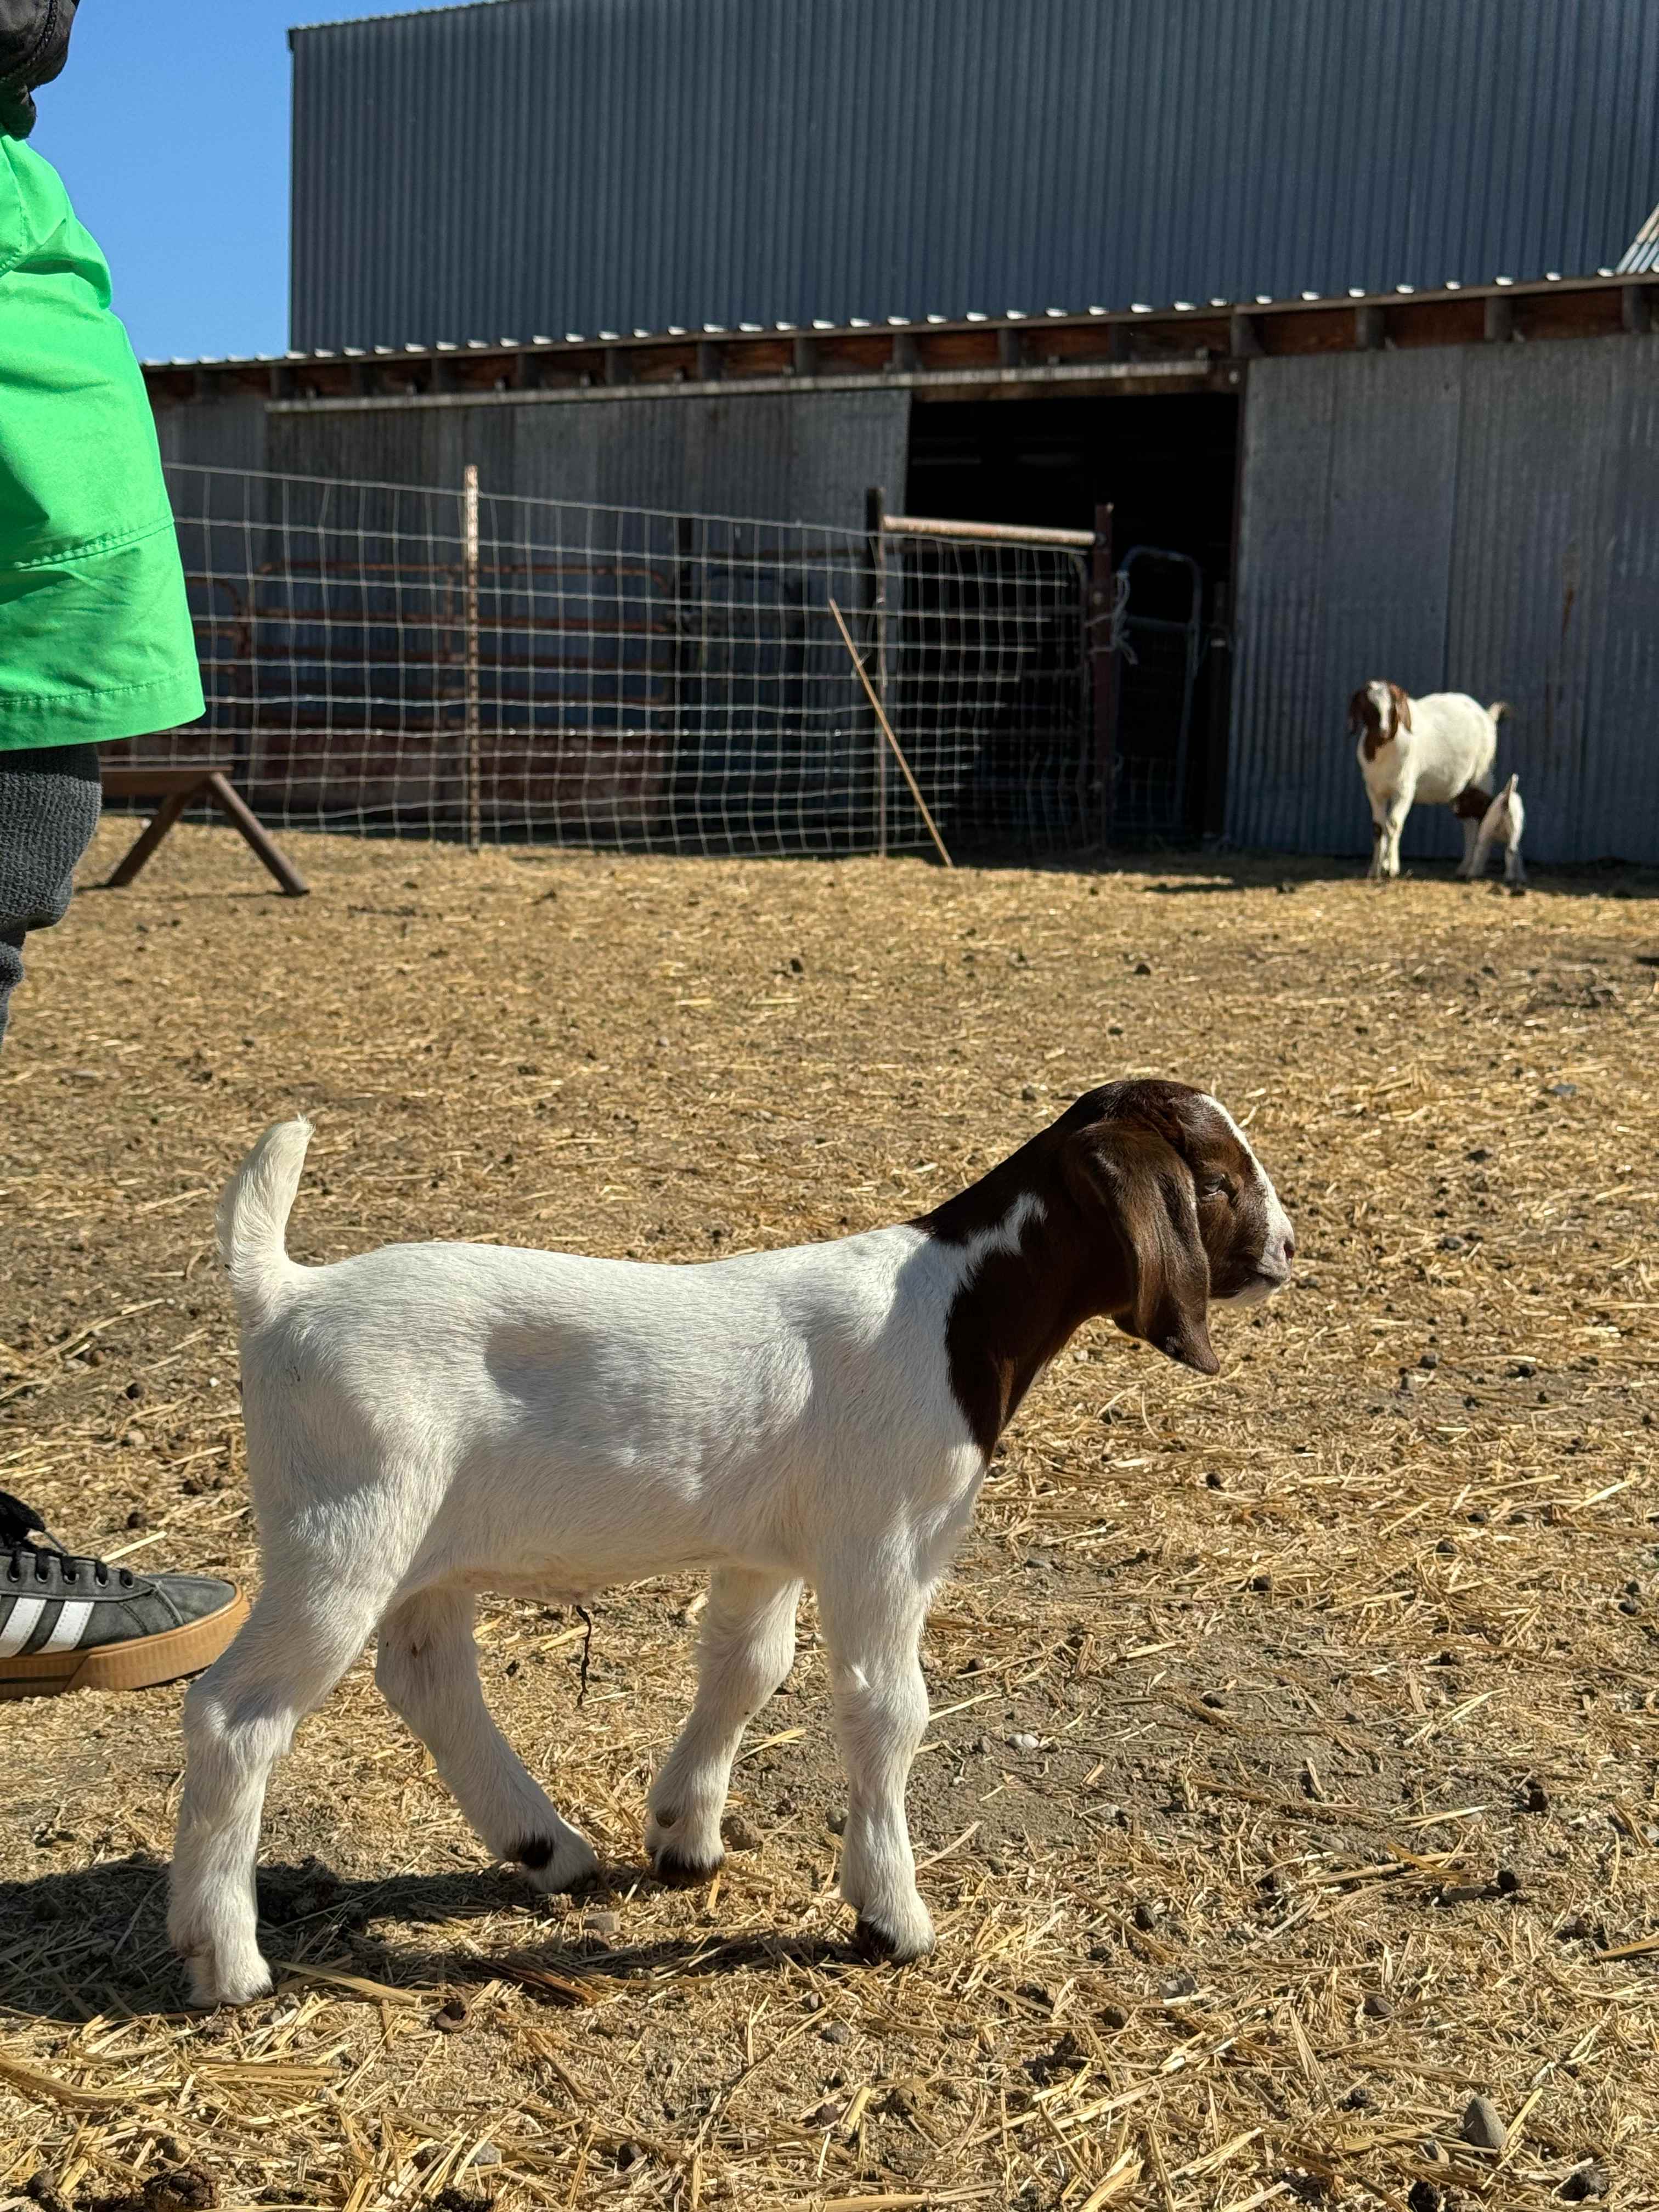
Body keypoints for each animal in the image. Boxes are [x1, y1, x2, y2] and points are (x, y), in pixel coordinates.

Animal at [169, 1081, 1294, 2006]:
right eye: (1216, 1177)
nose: (1287, 1251)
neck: (955, 1314)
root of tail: (284, 1292)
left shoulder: (766, 1550)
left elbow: (746, 1669)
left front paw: (684, 1837)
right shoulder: (881, 1543)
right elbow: (888, 1710)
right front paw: (890, 1917)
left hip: (416, 1544)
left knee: (427, 1675)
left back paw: (547, 1846)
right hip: (343, 1528)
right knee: (237, 1715)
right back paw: (225, 1958)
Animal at [1349, 681, 1508, 879]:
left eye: (1393, 706)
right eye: (1368, 705)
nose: (1383, 732)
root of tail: (1487, 716)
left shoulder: (1405, 789)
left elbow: (1393, 824)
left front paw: (1391, 869)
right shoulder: (1374, 790)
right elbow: (1379, 828)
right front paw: (1375, 870)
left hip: (1481, 779)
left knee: (1482, 818)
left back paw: (1475, 870)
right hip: (1461, 793)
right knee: (1469, 824)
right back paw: (1464, 868)